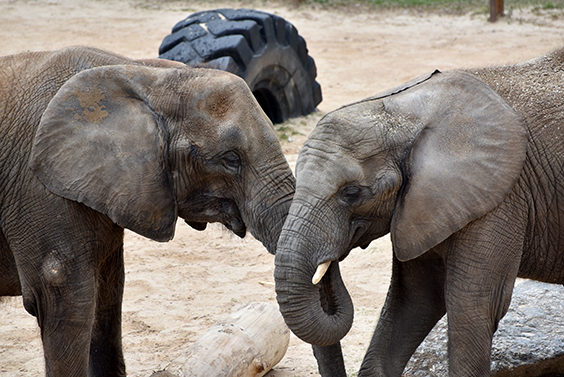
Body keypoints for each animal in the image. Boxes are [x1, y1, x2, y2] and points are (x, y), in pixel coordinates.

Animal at [274, 46, 564, 374]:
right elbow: (414, 300)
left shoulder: (501, 197)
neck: (401, 111)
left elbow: (473, 306)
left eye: (351, 193)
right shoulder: (422, 205)